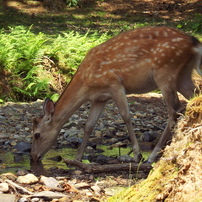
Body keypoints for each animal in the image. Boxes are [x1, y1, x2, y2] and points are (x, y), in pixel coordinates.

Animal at [30, 26, 201, 163]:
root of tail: (195, 43)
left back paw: (152, 156)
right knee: (193, 97)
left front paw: (137, 154)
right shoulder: (99, 98)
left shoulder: (115, 84)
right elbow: (89, 125)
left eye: (37, 134)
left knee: (174, 110)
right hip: (182, 76)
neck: (86, 84)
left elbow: (126, 116)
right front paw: (77, 157)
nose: (33, 157)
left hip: (165, 72)